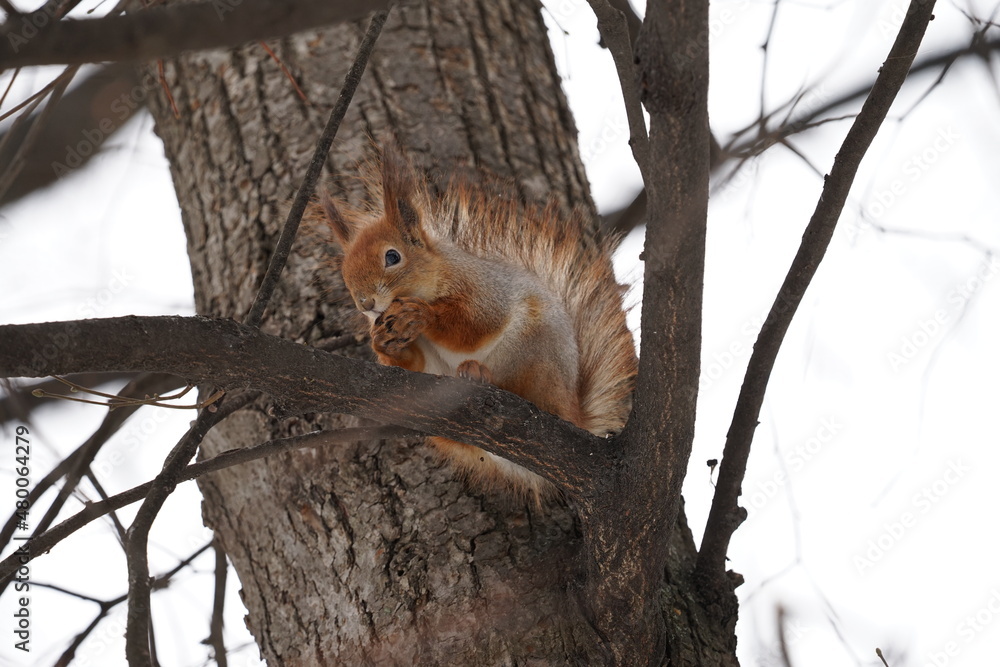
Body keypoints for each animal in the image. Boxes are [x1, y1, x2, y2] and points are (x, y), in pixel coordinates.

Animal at [316, 146, 636, 500]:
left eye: (392, 256)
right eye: (345, 270)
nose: (366, 304)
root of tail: (574, 412)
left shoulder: (483, 289)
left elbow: (475, 326)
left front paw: (424, 314)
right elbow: (411, 363)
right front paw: (383, 342)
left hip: (536, 352)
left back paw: (480, 374)